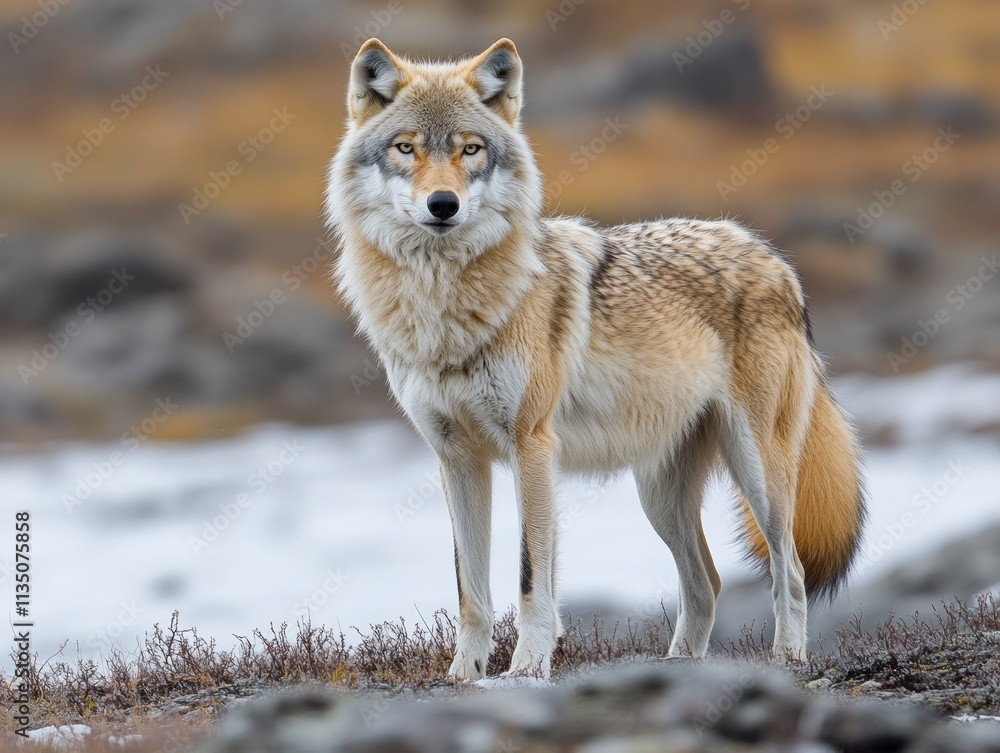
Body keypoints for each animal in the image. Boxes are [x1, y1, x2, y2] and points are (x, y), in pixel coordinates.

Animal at [325, 38, 866, 679]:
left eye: (470, 149)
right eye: (405, 148)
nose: (442, 204)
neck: (443, 312)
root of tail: (776, 260)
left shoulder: (532, 446)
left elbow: (531, 578)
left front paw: (527, 669)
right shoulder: (456, 458)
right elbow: (470, 591)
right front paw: (463, 675)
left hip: (758, 472)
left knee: (792, 571)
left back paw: (784, 662)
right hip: (659, 496)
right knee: (706, 583)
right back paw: (677, 666)